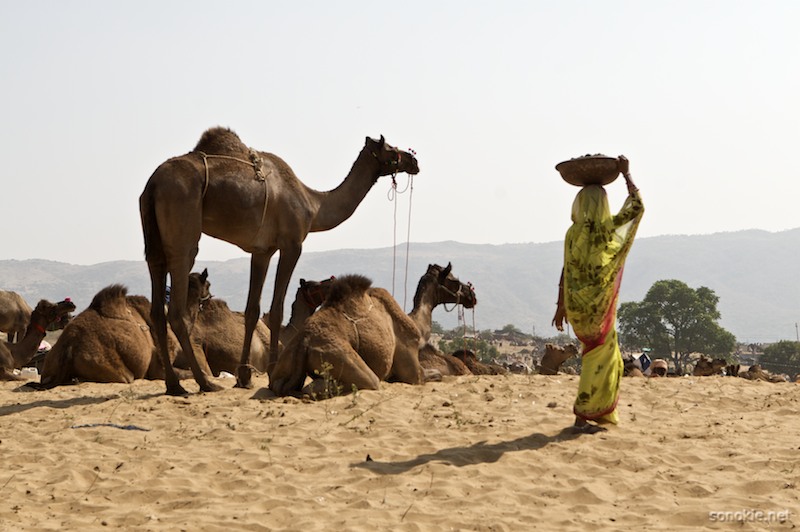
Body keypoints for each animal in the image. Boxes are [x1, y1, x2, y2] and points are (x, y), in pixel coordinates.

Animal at [36, 270, 212, 386]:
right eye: (208, 285)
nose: (210, 298)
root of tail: (69, 348)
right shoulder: (160, 367)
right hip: (118, 371)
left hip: (49, 368)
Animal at [272, 264, 478, 396]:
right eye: (453, 280)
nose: (471, 295)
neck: (417, 327)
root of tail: (304, 342)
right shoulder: (414, 372)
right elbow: (435, 375)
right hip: (343, 359)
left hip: (282, 364)